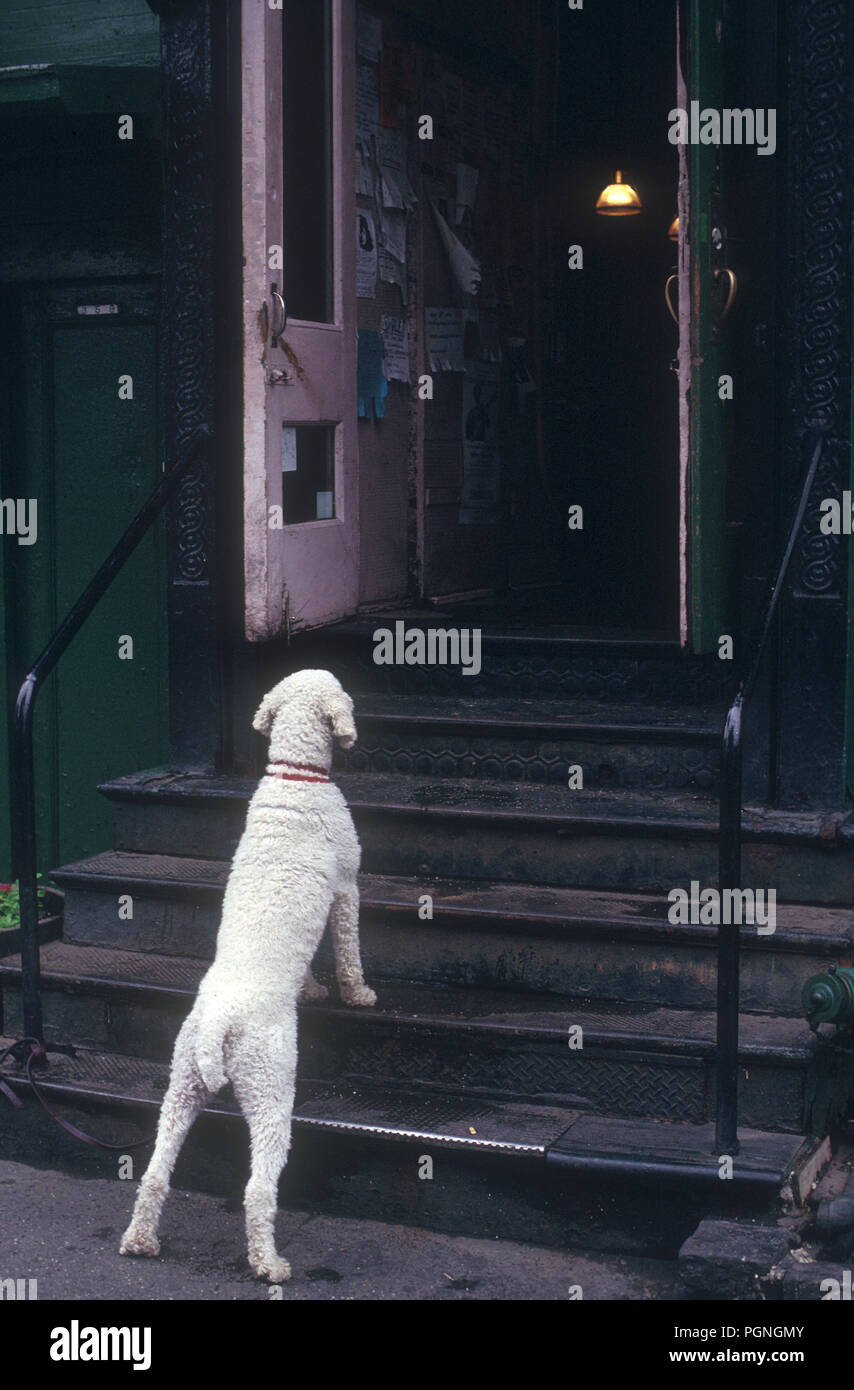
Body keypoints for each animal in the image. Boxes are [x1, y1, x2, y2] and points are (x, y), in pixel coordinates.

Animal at [119, 669, 375, 1278]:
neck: (296, 777)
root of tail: (220, 1021)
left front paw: (313, 988)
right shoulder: (346, 888)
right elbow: (348, 951)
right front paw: (358, 994)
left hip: (182, 1082)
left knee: (155, 1172)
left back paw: (140, 1241)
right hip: (270, 1085)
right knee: (259, 1189)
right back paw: (269, 1263)